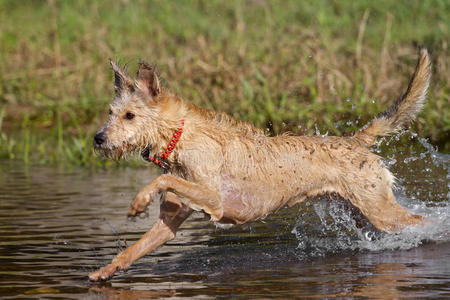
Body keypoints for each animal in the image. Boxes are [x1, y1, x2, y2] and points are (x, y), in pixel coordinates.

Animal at [89, 47, 430, 282]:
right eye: (110, 112)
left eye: (129, 116)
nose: (98, 138)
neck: (180, 137)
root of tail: (356, 141)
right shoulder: (169, 223)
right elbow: (135, 248)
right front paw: (106, 270)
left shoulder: (213, 199)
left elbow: (163, 180)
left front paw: (138, 202)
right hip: (362, 214)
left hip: (381, 212)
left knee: (422, 221)